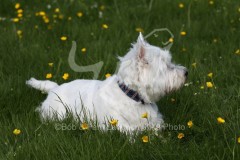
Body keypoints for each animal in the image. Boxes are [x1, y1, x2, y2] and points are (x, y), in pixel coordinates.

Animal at [26, 33, 188, 132]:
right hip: (58, 113)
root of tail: (55, 88)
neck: (132, 96)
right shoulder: (118, 124)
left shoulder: (154, 123)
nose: (186, 72)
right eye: (167, 66)